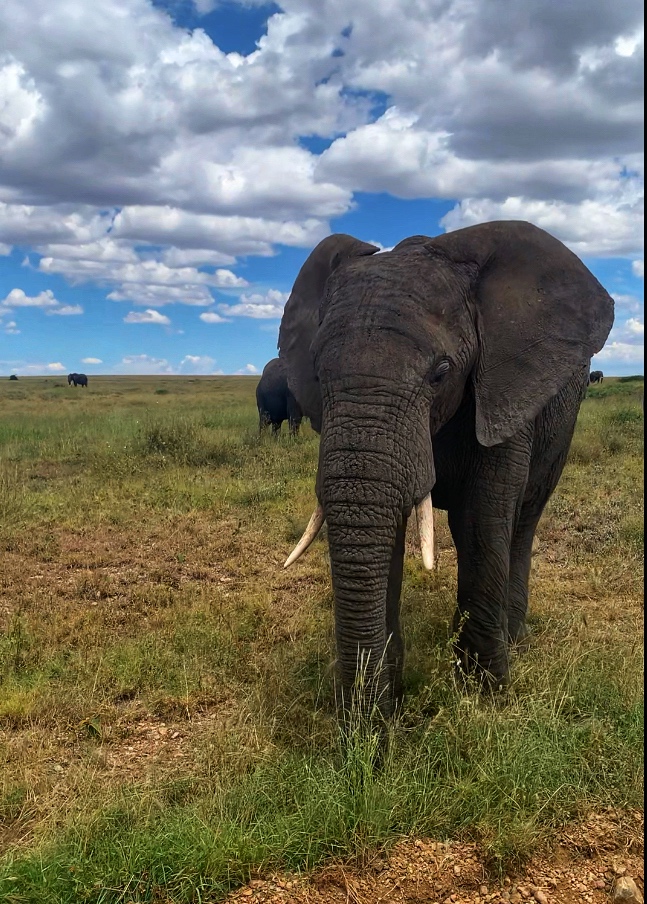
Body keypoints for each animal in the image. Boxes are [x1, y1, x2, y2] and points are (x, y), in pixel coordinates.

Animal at [278, 219, 612, 720]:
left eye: (441, 372)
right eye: (316, 374)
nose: (365, 729)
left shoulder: (504, 391)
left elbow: (480, 519)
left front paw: (485, 693)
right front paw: (385, 703)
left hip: (561, 423)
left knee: (523, 520)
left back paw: (512, 639)